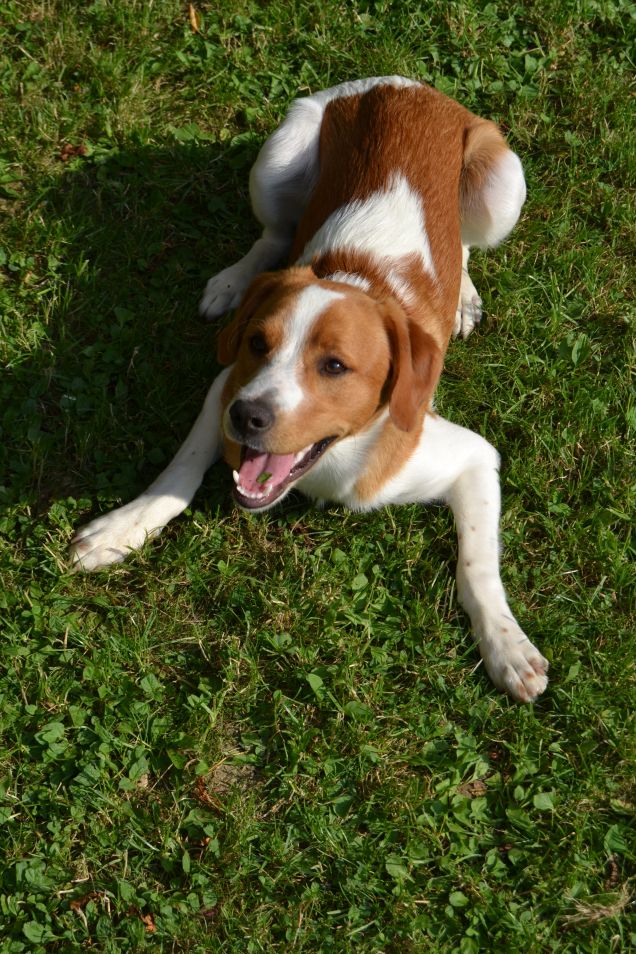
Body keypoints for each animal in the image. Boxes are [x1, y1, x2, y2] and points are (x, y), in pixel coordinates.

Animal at [68, 76, 548, 700]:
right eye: (256, 343)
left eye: (336, 367)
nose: (246, 418)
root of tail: (406, 83)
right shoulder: (226, 383)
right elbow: (178, 472)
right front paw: (123, 528)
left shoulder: (472, 456)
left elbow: (478, 567)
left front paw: (506, 646)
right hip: (278, 154)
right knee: (275, 233)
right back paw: (234, 281)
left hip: (501, 184)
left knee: (465, 242)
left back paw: (463, 295)